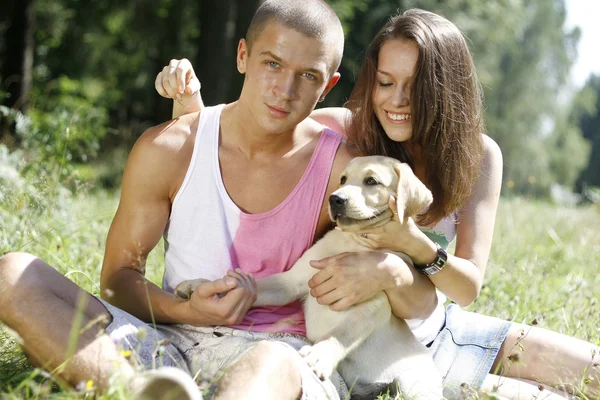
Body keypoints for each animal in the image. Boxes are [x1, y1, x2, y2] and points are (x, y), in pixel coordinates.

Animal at [176, 156, 442, 400]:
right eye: (343, 179)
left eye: (371, 181)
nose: (335, 199)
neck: (352, 242)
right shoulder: (290, 282)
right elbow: (254, 285)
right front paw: (199, 286)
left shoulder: (373, 306)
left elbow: (342, 334)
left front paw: (319, 355)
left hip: (414, 385)